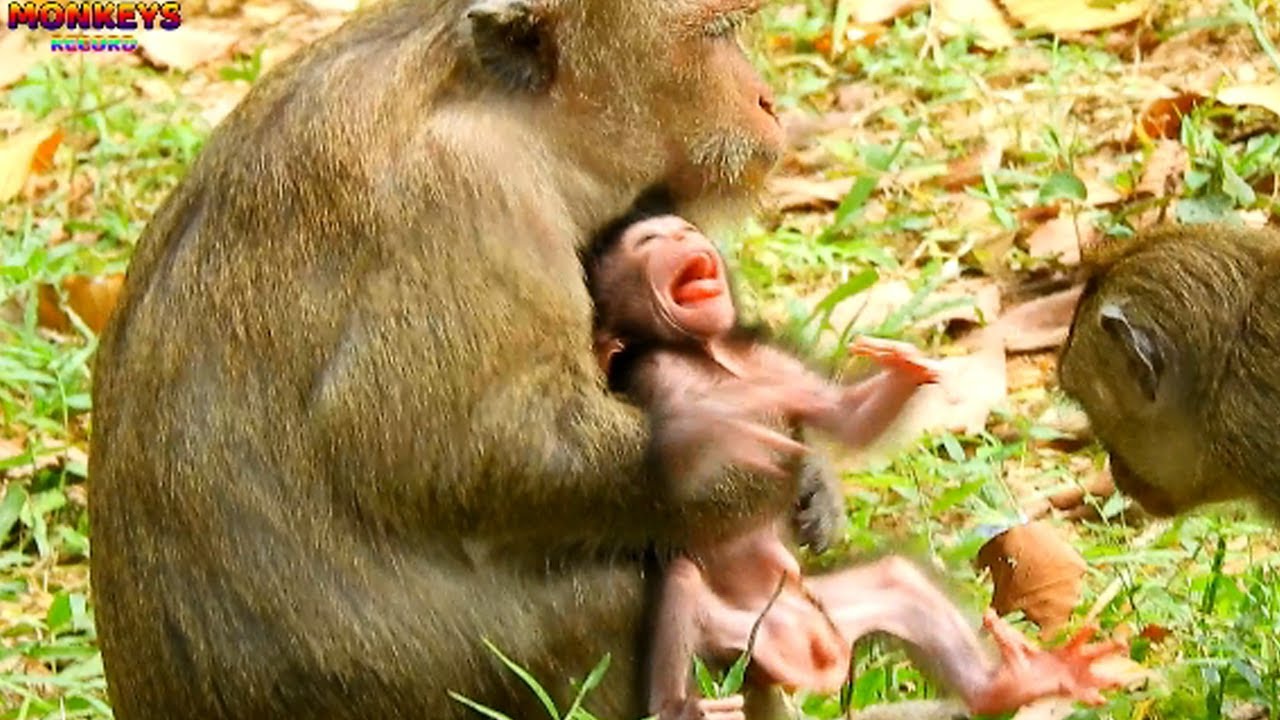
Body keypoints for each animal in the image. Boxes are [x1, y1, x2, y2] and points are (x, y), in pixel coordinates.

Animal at [87, 0, 851, 718]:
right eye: (718, 34)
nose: (766, 102)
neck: (513, 117)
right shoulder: (459, 197)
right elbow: (467, 446)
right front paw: (745, 465)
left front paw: (810, 475)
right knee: (614, 598)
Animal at [584, 207, 1127, 720]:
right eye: (649, 240)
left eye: (682, 230)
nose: (683, 236)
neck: (706, 353)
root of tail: (808, 650)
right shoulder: (652, 370)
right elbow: (661, 461)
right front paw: (720, 424)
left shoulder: (773, 364)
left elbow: (847, 419)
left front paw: (904, 365)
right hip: (723, 624)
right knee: (681, 580)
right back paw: (679, 707)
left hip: (833, 604)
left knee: (899, 579)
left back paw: (1014, 683)